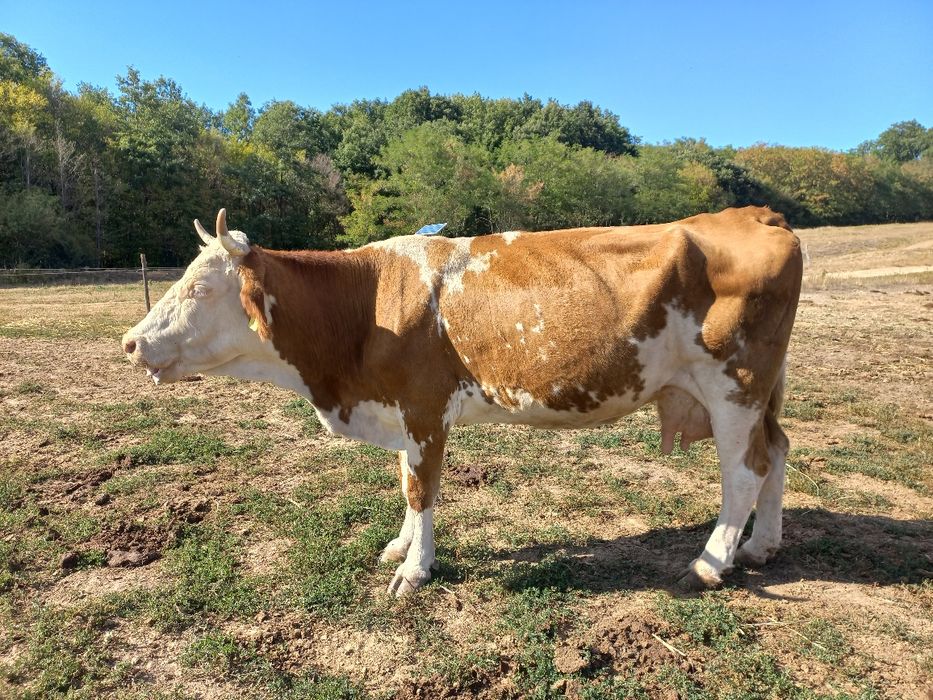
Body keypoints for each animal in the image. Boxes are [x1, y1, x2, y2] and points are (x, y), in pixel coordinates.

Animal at [122, 206, 802, 596]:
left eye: (201, 287)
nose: (131, 342)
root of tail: (753, 214)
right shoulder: (401, 412)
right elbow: (404, 482)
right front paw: (400, 547)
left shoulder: (425, 409)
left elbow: (421, 489)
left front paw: (414, 571)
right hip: (758, 391)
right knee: (777, 450)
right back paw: (761, 545)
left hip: (734, 384)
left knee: (744, 471)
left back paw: (711, 561)